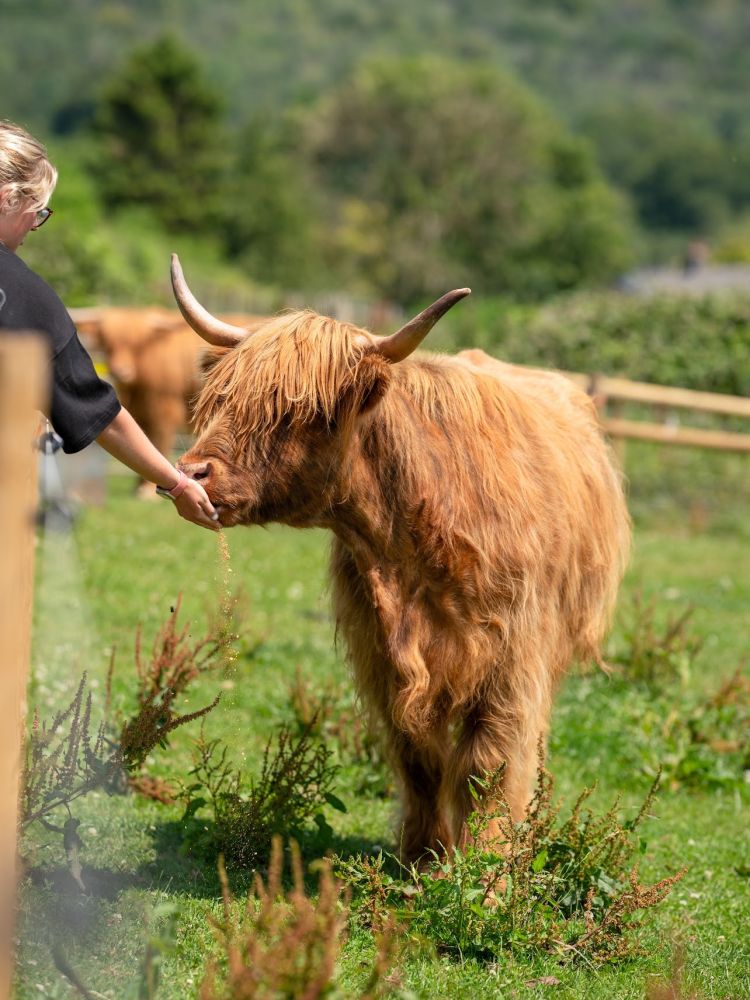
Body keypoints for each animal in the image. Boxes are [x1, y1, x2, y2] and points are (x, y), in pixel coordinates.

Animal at [171, 254, 631, 862]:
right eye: (221, 399)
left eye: (299, 413)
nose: (192, 472)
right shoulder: (381, 654)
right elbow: (418, 756)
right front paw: (423, 854)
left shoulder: (513, 655)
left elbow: (490, 759)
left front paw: (486, 864)